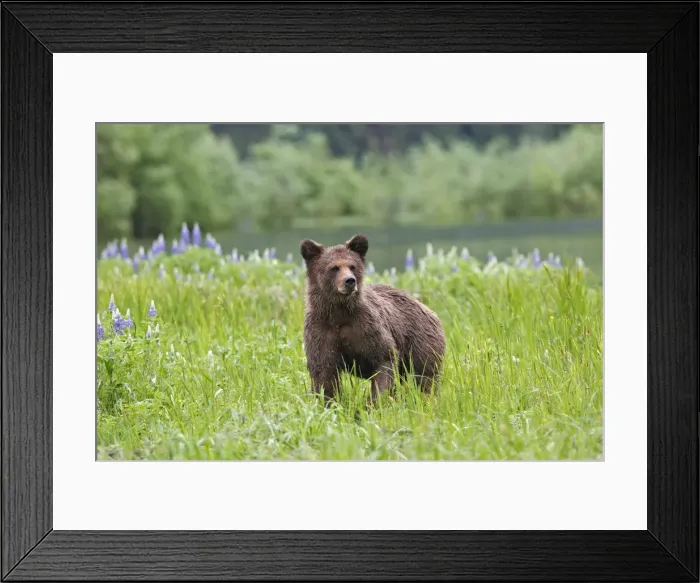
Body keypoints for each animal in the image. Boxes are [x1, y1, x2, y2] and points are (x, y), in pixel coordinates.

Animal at [300, 233, 446, 405]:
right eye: (334, 268)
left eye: (352, 266)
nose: (350, 281)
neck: (339, 312)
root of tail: (427, 308)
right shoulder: (322, 329)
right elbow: (323, 372)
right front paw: (329, 402)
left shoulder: (366, 327)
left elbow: (384, 359)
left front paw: (374, 402)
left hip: (420, 339)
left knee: (425, 375)